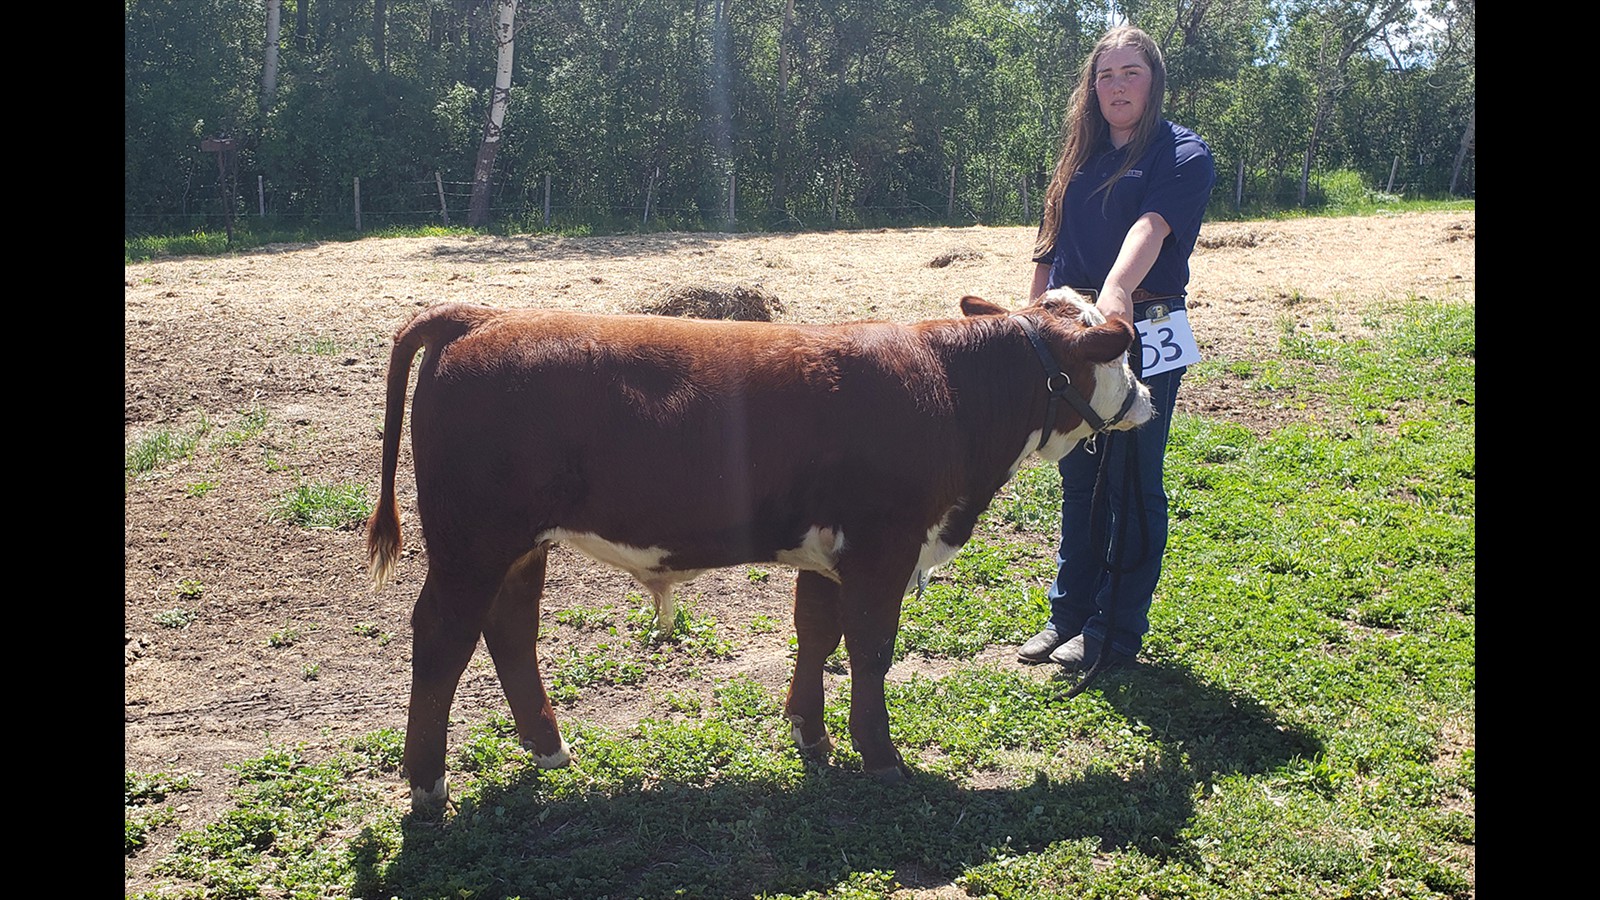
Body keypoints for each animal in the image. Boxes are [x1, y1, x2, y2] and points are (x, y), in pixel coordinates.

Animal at [366, 289, 1153, 810]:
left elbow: (817, 634)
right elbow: (871, 649)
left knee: (509, 629)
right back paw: (427, 783)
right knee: (441, 638)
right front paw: (881, 756)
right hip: (471, 543)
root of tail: (484, 317)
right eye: (1121, 355)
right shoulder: (885, 546)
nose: (1148, 399)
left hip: (518, 547)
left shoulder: (830, 552)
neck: (950, 393)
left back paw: (548, 747)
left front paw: (811, 734)